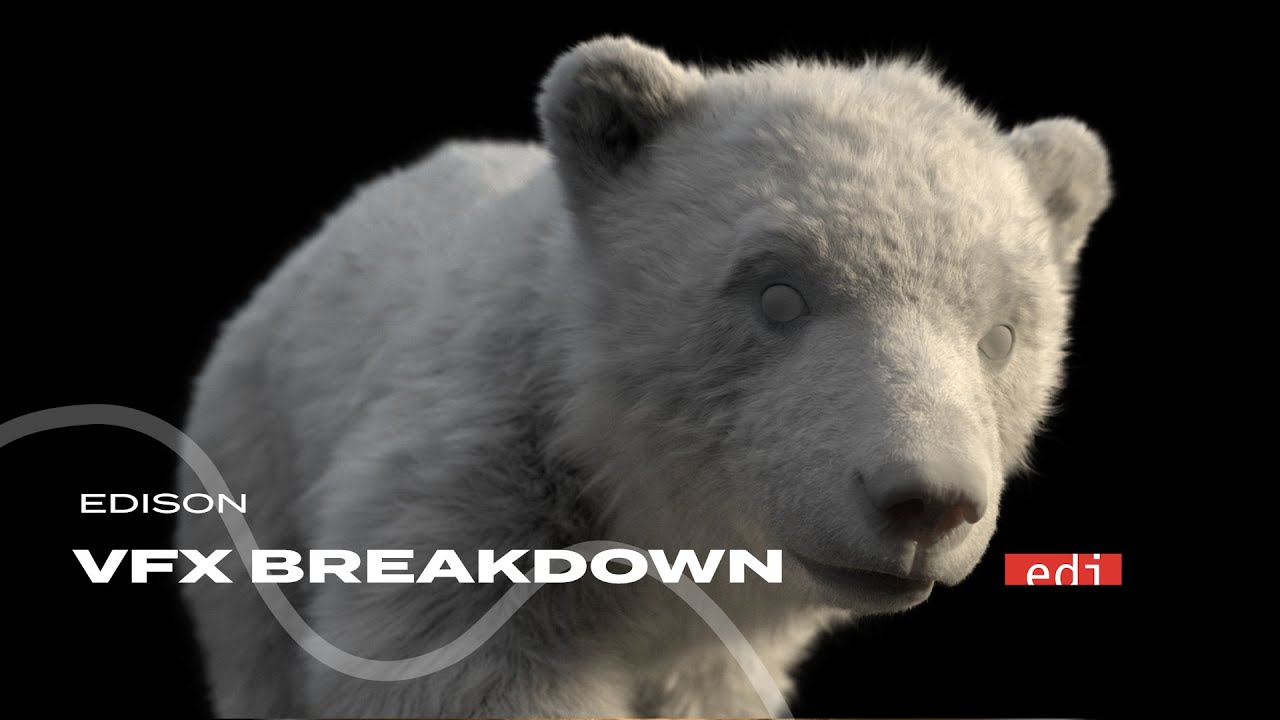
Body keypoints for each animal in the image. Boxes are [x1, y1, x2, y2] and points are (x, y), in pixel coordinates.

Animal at [176, 36, 1111, 718]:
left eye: (1001, 336)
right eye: (778, 294)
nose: (928, 502)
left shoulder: (717, 656)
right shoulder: (472, 501)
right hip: (255, 465)